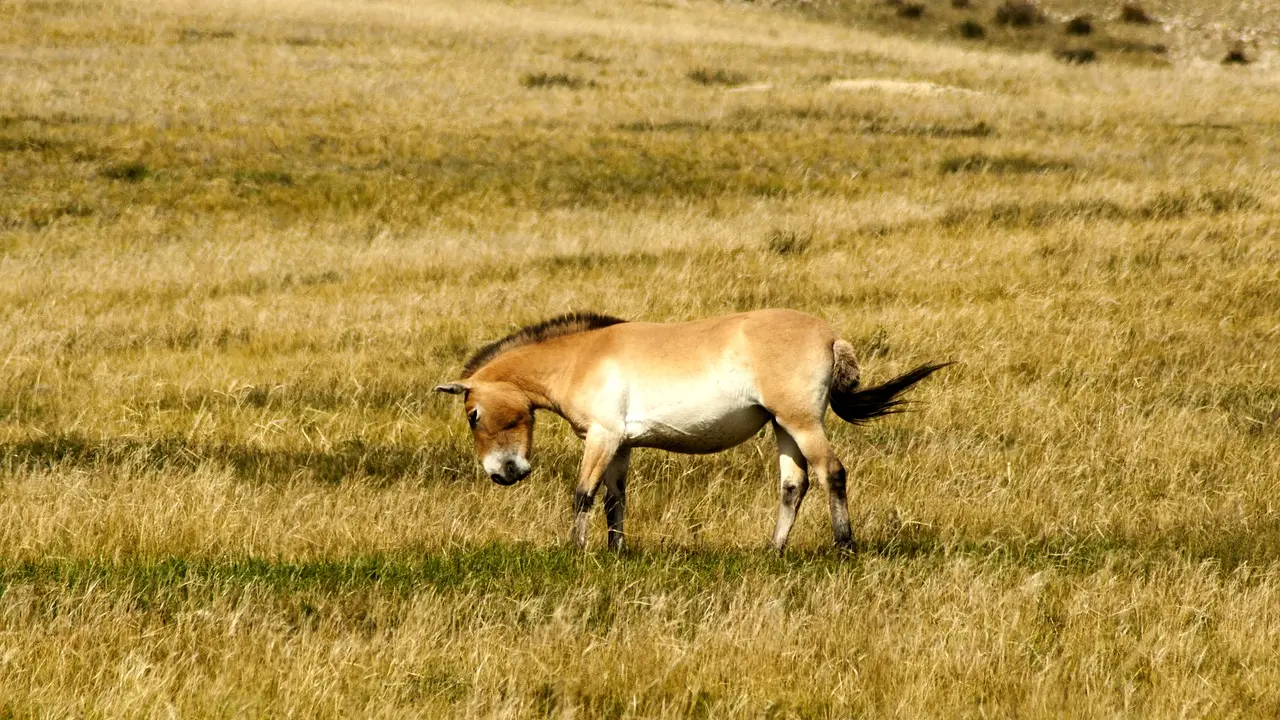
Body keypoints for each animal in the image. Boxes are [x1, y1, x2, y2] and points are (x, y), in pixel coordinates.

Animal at [434, 309, 949, 551]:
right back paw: (774, 550)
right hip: (783, 425)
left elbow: (583, 494)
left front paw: (575, 552)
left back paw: (845, 547)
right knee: (793, 484)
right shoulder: (621, 445)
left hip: (802, 422)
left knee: (831, 473)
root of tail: (830, 336)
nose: (502, 473)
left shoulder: (602, 437)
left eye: (472, 414)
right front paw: (616, 553)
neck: (580, 357)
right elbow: (615, 500)